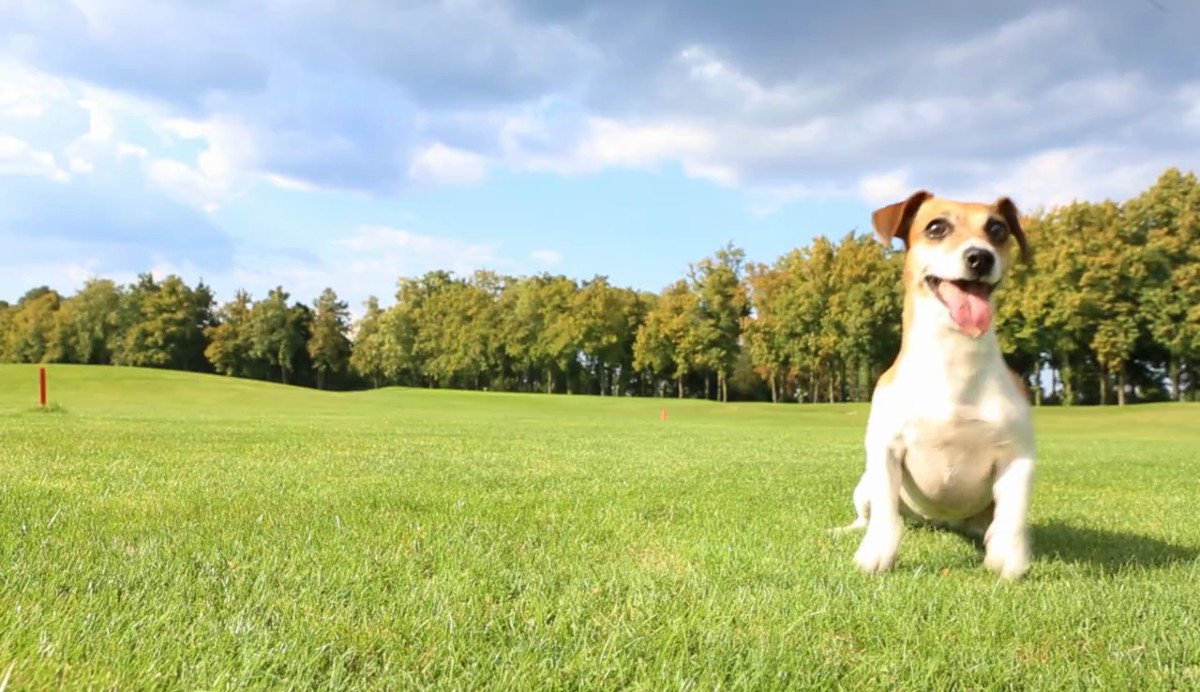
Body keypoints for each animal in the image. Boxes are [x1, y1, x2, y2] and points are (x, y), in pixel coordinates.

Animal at [844, 189, 1032, 578]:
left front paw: (1009, 557)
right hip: (864, 486)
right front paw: (876, 556)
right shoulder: (885, 449)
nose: (980, 257)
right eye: (936, 227)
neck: (954, 360)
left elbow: (1013, 515)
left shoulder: (1018, 455)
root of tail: (939, 522)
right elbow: (885, 515)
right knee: (869, 513)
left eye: (997, 229)